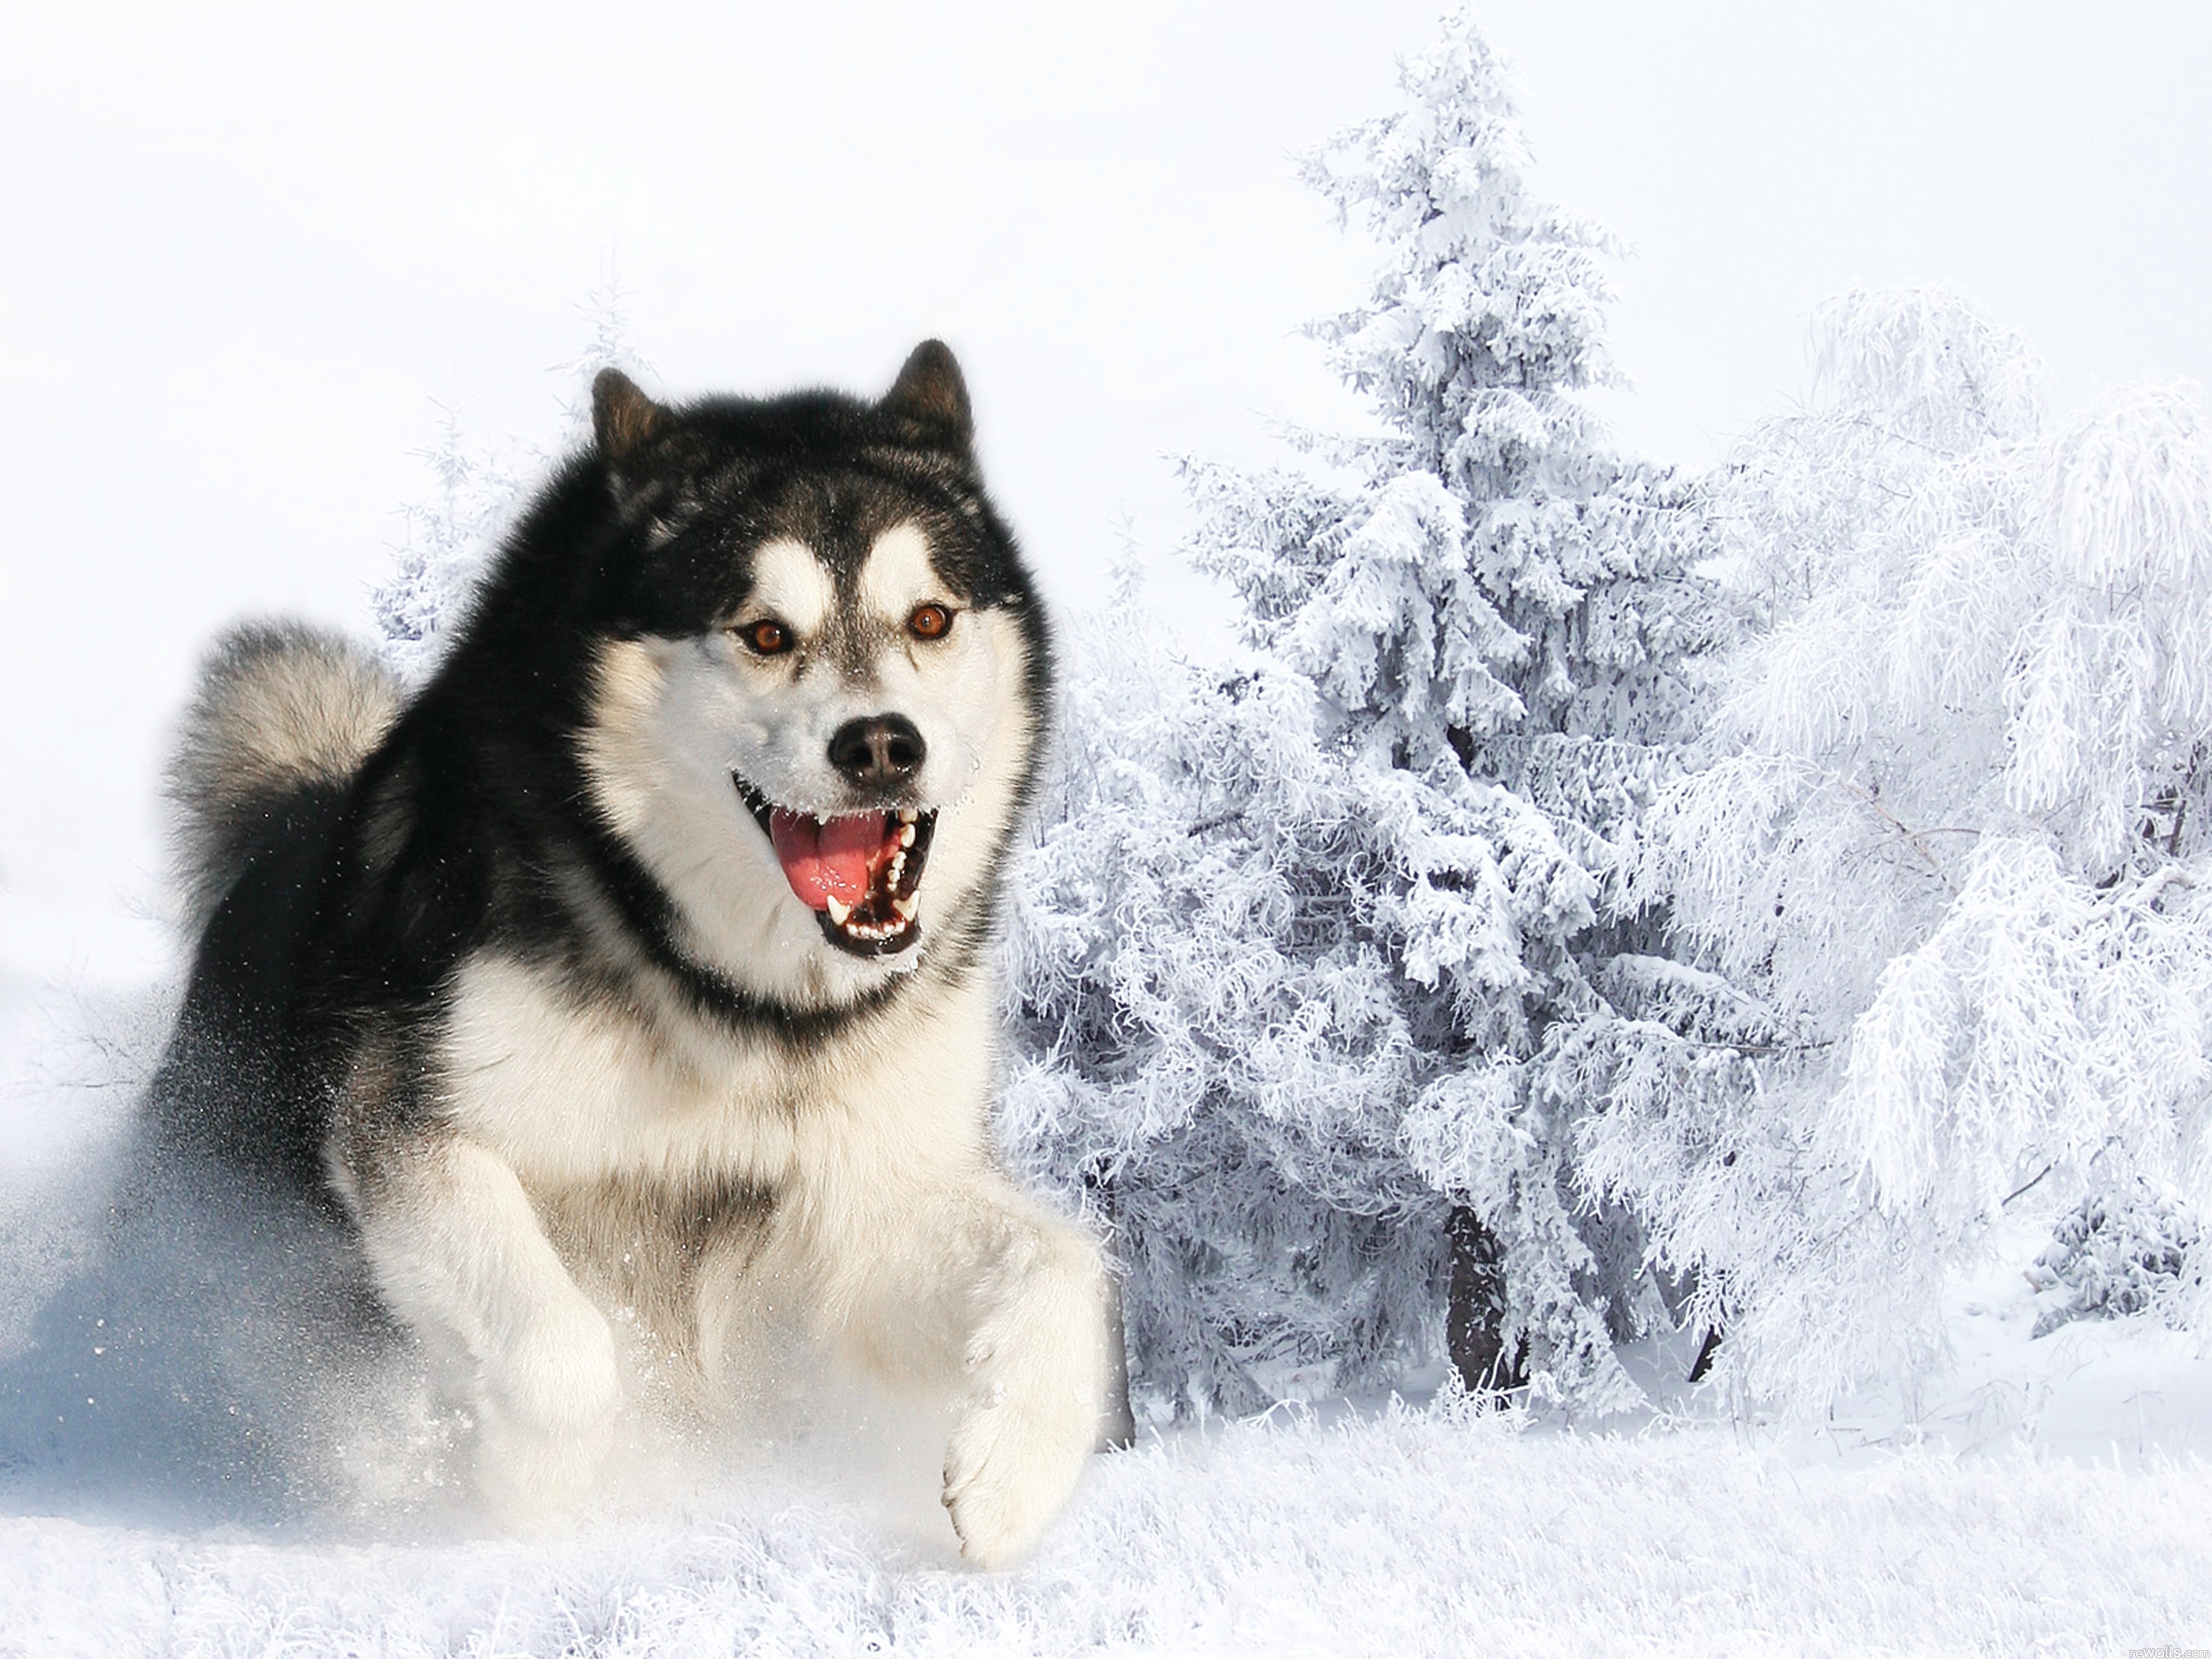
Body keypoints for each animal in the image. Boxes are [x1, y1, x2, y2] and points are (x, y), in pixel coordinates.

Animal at [145, 345, 1106, 1565]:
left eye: (930, 617)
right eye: (763, 633)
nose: (884, 744)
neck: (734, 997)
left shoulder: (861, 1211)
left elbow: (1069, 1266)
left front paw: (1013, 1472)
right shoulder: (411, 1127)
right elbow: (560, 1350)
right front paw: (522, 1486)